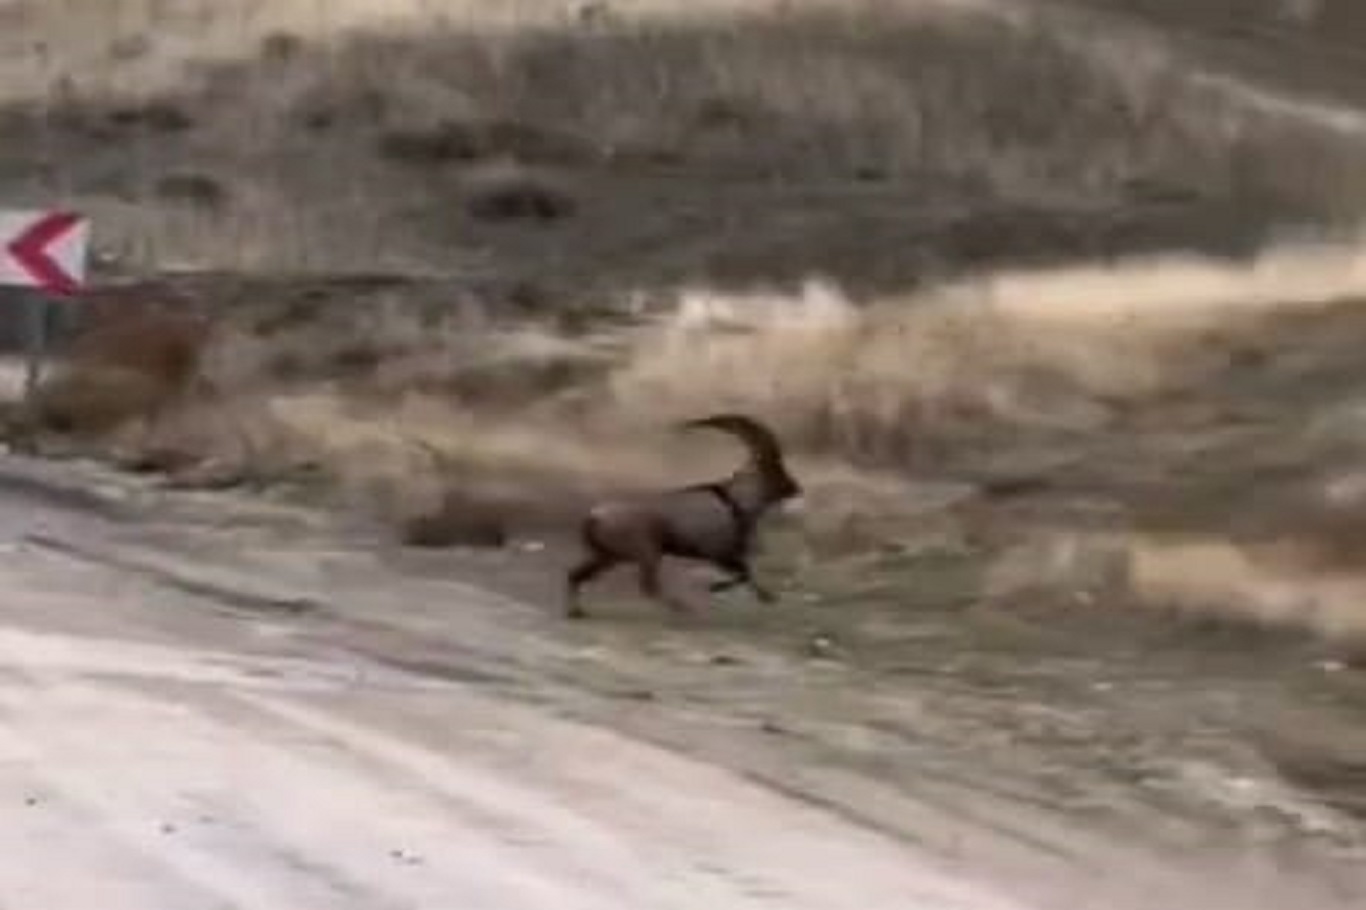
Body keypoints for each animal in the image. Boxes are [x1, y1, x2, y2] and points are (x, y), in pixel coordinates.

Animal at [562, 409, 797, 617]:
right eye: (776, 468)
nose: (796, 488)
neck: (734, 501)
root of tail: (594, 517)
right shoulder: (715, 552)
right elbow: (743, 572)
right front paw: (720, 588)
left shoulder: (725, 554)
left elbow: (744, 573)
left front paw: (764, 595)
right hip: (646, 551)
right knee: (648, 586)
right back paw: (683, 609)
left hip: (607, 556)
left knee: (575, 574)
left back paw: (577, 612)